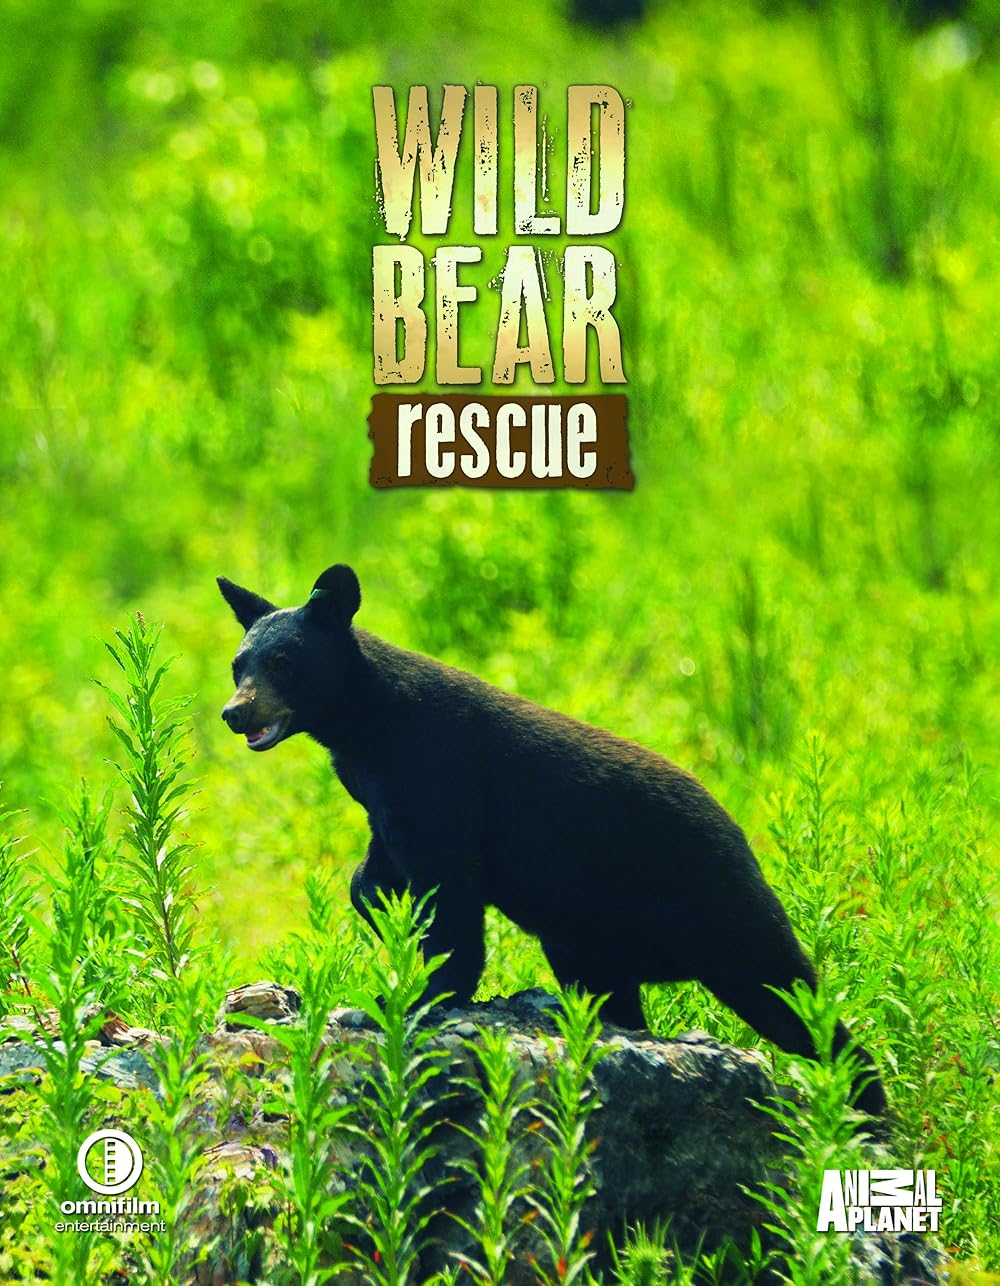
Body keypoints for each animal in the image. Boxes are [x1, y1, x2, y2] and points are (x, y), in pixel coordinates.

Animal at [218, 563, 887, 1120]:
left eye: (283, 662)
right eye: (238, 664)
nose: (234, 712)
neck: (365, 729)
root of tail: (739, 832)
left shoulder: (440, 776)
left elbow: (452, 895)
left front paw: (421, 997)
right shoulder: (382, 797)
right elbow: (378, 868)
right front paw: (381, 905)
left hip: (719, 905)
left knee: (789, 993)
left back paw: (864, 1105)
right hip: (589, 943)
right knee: (618, 993)